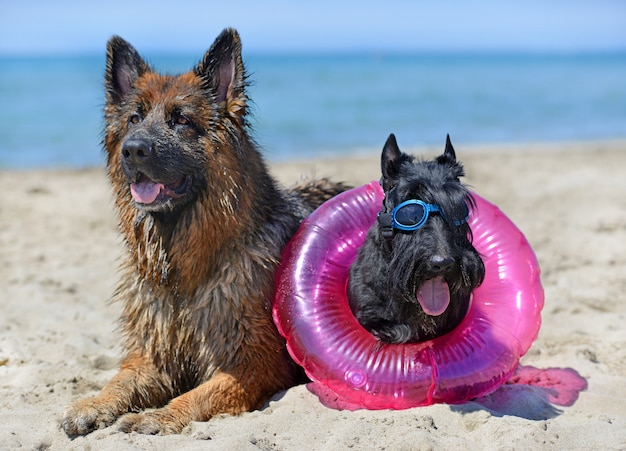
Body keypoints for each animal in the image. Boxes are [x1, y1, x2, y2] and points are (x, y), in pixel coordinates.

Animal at [62, 29, 346, 438]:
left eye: (181, 119)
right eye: (134, 119)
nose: (133, 150)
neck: (183, 271)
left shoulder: (254, 365)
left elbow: (198, 395)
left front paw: (159, 416)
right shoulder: (152, 357)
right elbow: (119, 381)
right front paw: (94, 404)